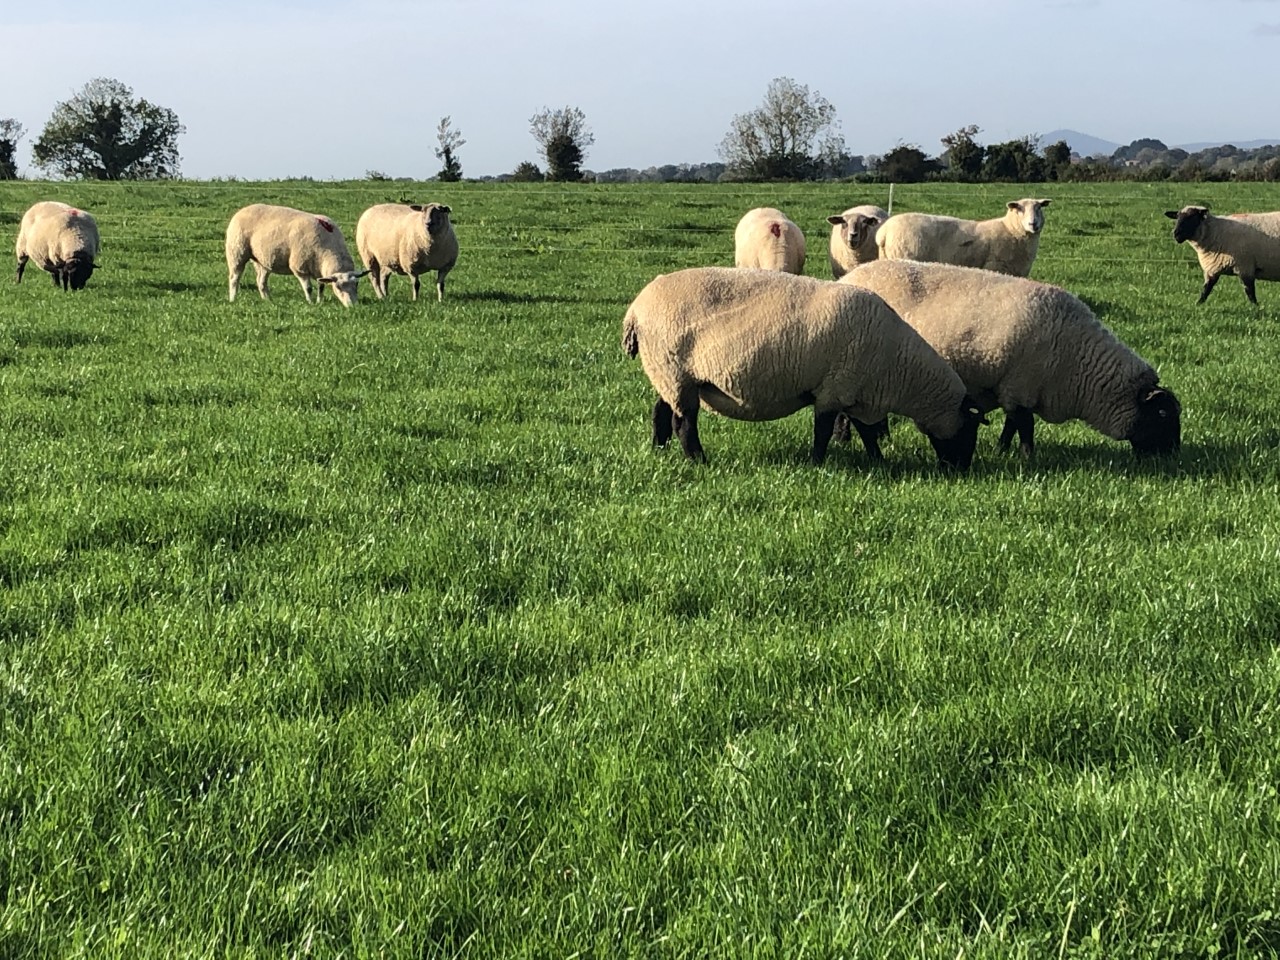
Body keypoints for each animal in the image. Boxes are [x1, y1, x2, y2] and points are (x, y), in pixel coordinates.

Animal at [225, 203, 366, 306]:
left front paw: (319, 301)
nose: (352, 306)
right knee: (234, 278)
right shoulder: (300, 267)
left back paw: (268, 300)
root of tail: (243, 210)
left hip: (262, 260)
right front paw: (310, 303)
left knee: (261, 281)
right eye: (338, 287)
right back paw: (233, 299)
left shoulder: (319, 271)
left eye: (357, 284)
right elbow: (308, 288)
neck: (329, 248)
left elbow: (321, 287)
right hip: (237, 252)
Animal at [620, 266, 984, 469]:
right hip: (673, 368)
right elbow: (823, 431)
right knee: (684, 422)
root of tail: (635, 310)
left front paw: (878, 460)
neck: (897, 367)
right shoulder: (834, 389)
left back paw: (659, 449)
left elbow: (866, 431)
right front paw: (817, 464)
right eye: (969, 431)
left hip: (670, 372)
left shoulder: (854, 391)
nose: (961, 470)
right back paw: (698, 460)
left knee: (661, 411)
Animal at [840, 259, 1181, 458]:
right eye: (1163, 414)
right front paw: (1026, 458)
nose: (1173, 457)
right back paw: (846, 439)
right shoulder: (1019, 384)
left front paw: (1002, 450)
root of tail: (850, 276)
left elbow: (1010, 424)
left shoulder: (1014, 388)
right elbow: (1024, 425)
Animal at [875, 198, 1051, 277]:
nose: (1033, 224)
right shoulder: (995, 266)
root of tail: (884, 232)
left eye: (1039, 208)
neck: (1011, 229)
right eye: (1019, 209)